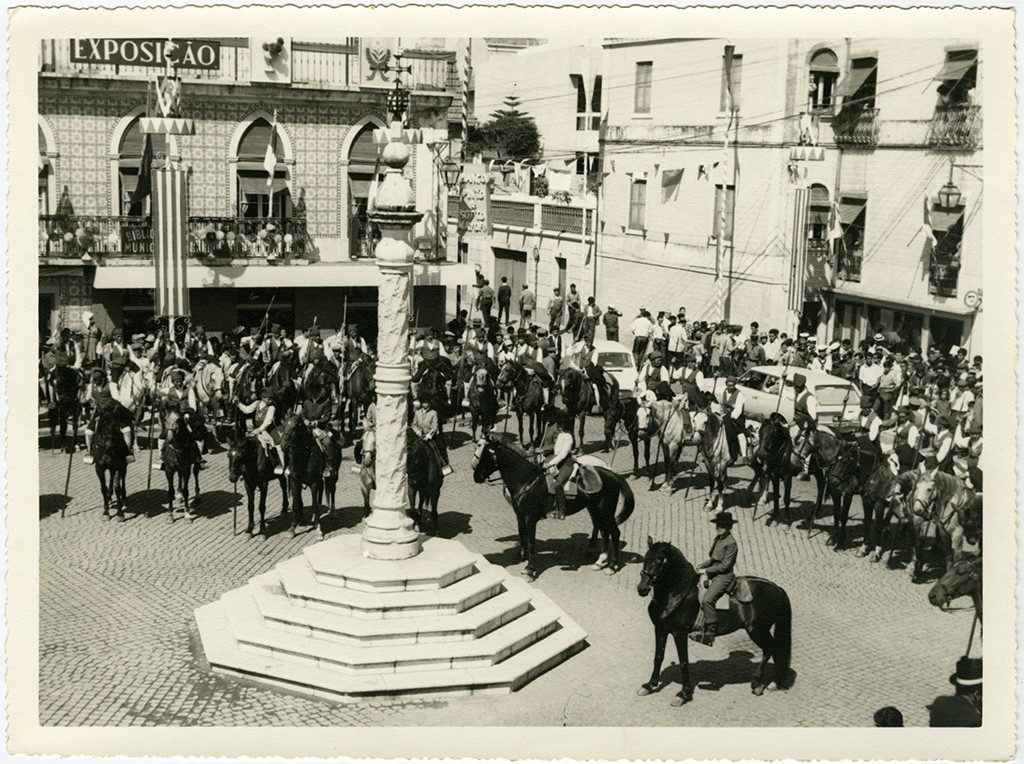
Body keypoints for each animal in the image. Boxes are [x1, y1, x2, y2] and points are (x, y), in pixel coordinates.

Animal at [475, 434, 634, 577]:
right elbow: (523, 536)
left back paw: (612, 566)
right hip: (596, 509)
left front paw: (530, 569)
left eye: (487, 455)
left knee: (614, 532)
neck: (527, 481)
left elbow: (531, 542)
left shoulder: (530, 518)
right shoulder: (519, 516)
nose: (476, 476)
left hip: (606, 510)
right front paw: (523, 558)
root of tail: (612, 474)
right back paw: (600, 562)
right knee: (604, 530)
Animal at [634, 536, 794, 700]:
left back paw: (757, 684)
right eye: (645, 559)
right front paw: (649, 685)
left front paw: (684, 694)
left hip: (757, 630)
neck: (678, 594)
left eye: (660, 562)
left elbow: (684, 662)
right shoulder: (660, 629)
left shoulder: (680, 633)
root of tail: (777, 589)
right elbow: (658, 657)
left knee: (770, 649)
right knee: (775, 650)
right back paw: (774, 682)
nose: (642, 588)